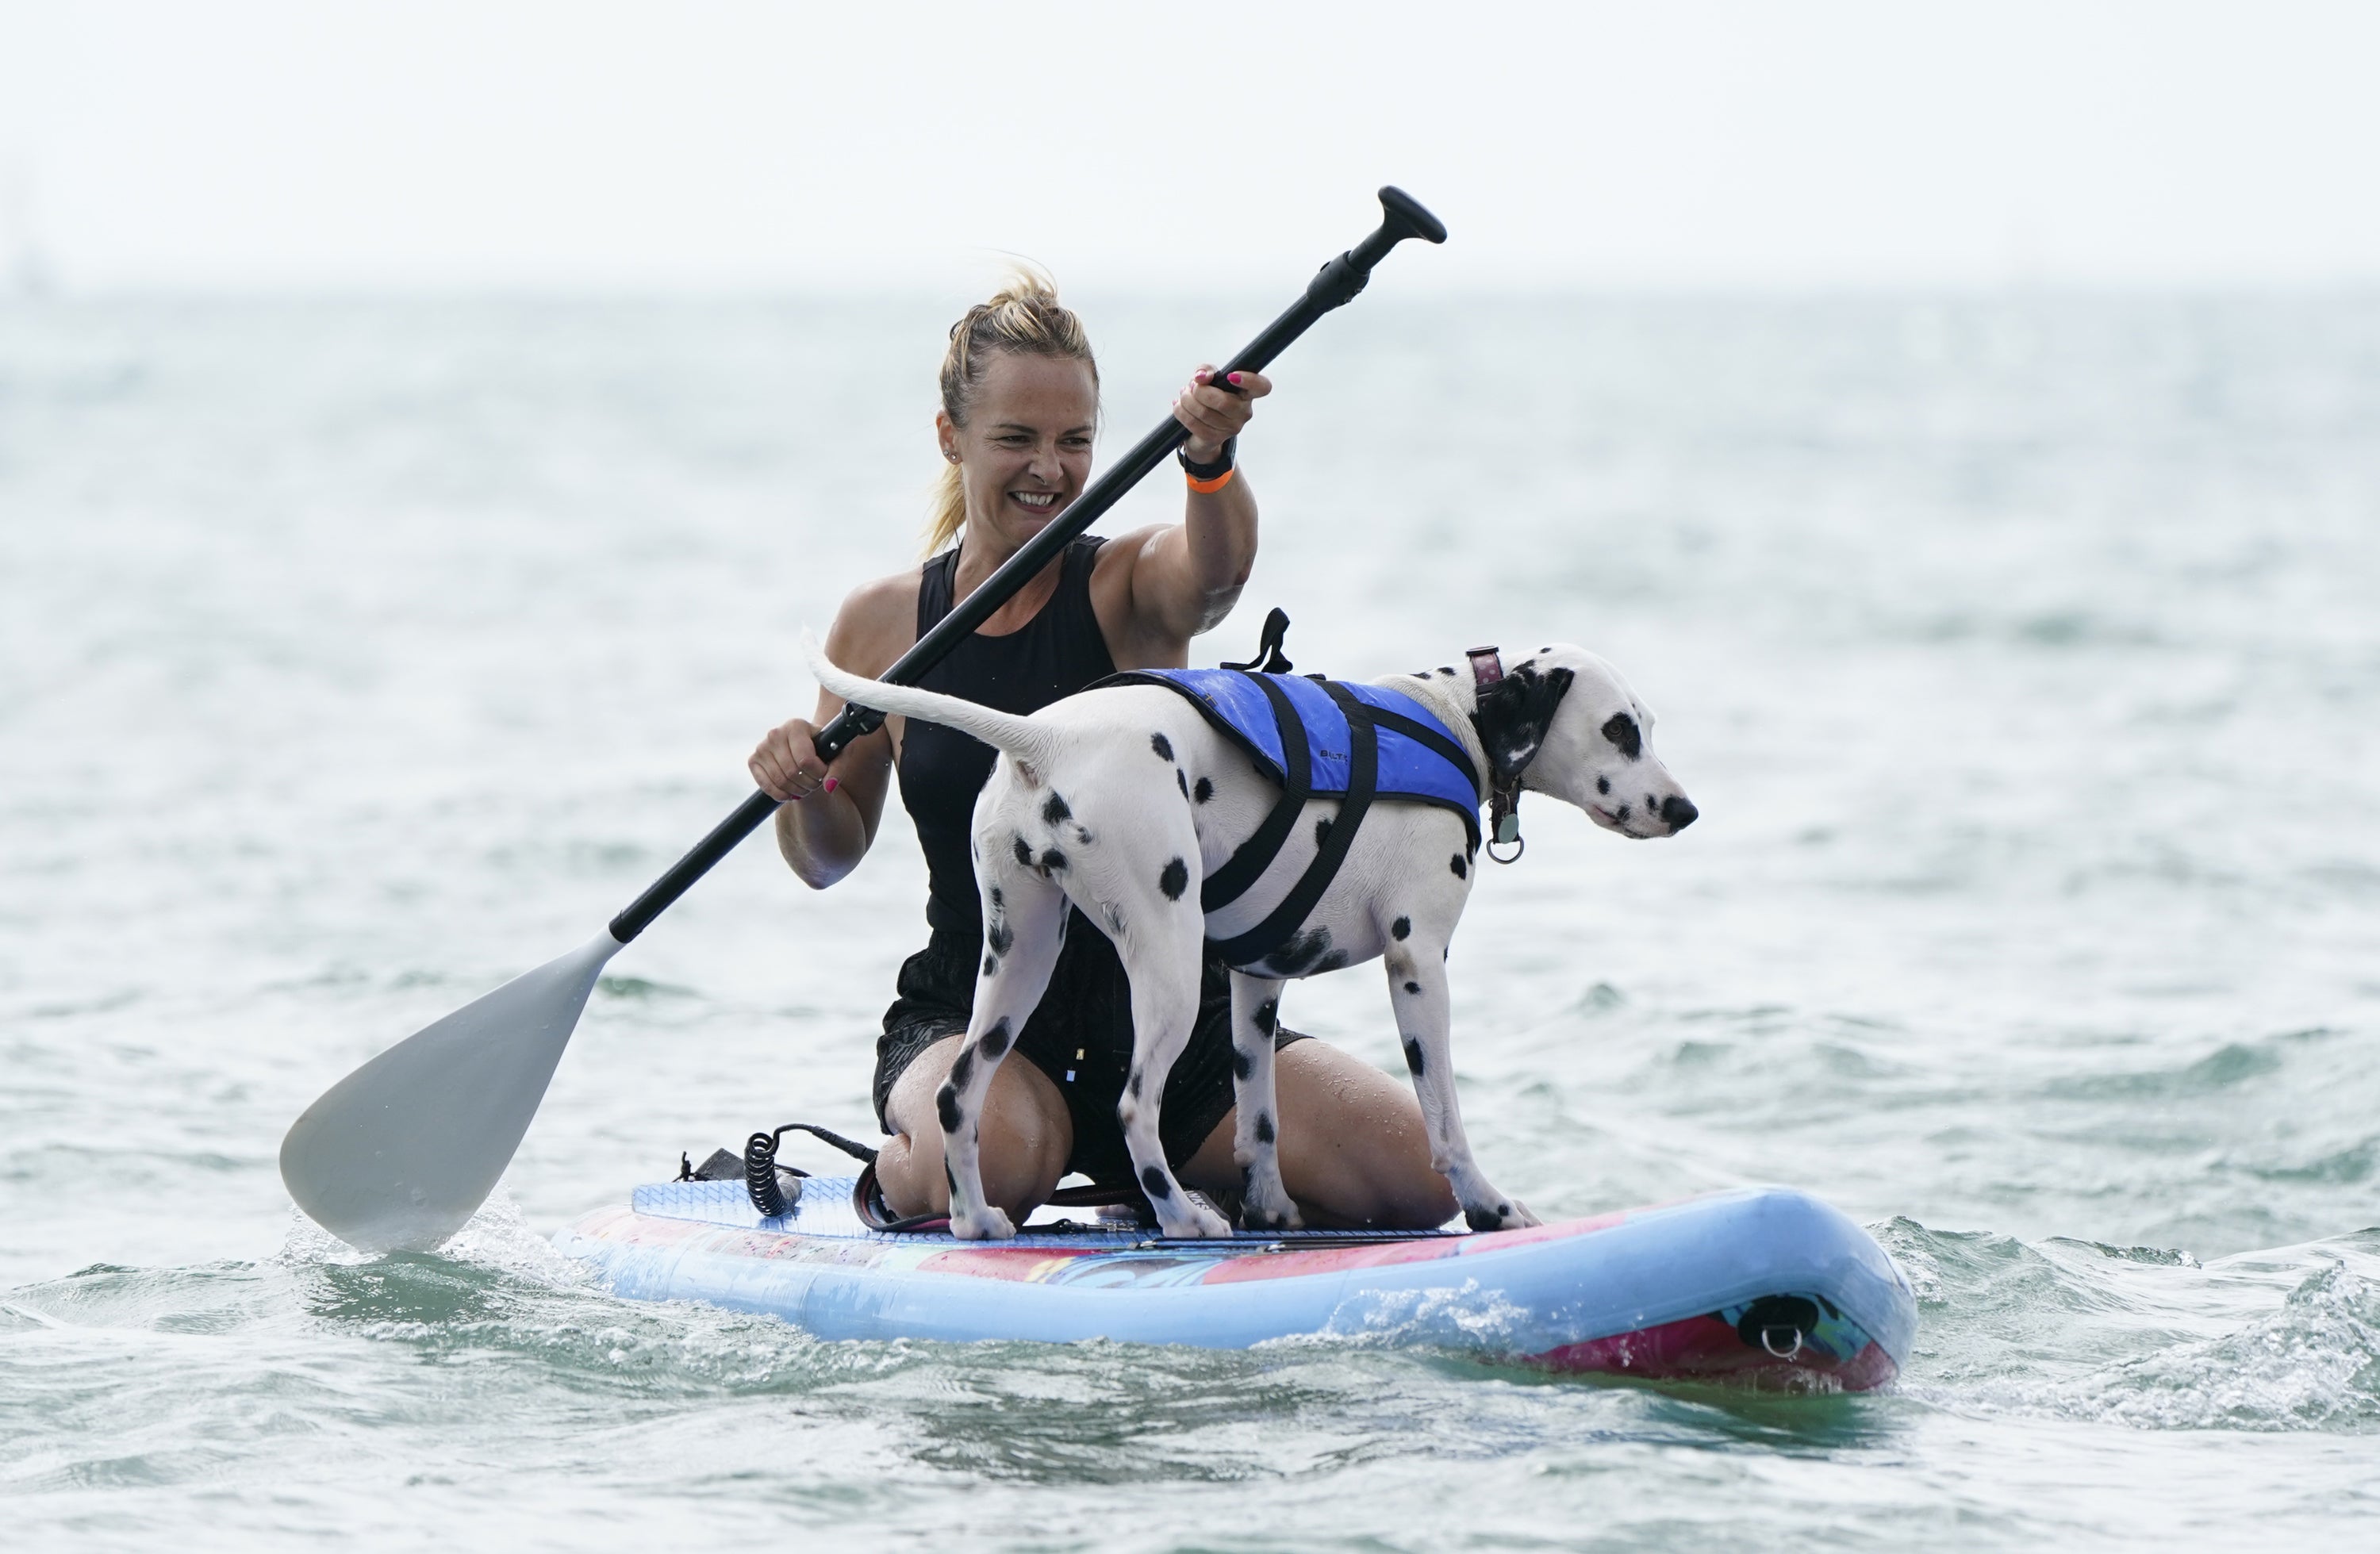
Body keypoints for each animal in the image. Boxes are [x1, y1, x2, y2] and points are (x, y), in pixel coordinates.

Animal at [800, 633, 1695, 1237]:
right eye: (1619, 729)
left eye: (1648, 724)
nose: (1684, 809)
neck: (1454, 720)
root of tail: (1048, 738)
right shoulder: (1419, 965)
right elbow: (1444, 1117)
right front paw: (1490, 1204)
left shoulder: (1257, 983)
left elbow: (1259, 1118)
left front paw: (1270, 1207)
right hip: (1165, 960)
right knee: (1135, 1107)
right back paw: (1183, 1220)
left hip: (1020, 963)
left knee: (958, 1095)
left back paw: (977, 1219)